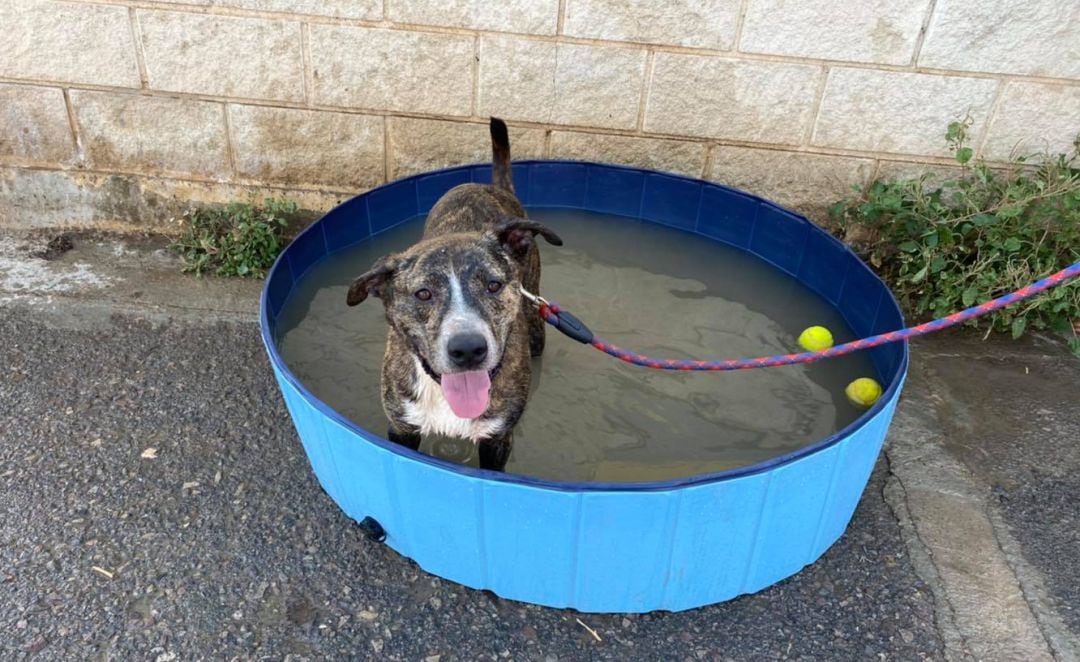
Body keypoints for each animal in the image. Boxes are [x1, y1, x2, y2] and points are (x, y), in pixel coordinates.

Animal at [345, 117, 565, 470]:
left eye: (493, 285)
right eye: (423, 294)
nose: (468, 349)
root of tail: (493, 187)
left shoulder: (497, 439)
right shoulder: (402, 428)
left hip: (535, 324)